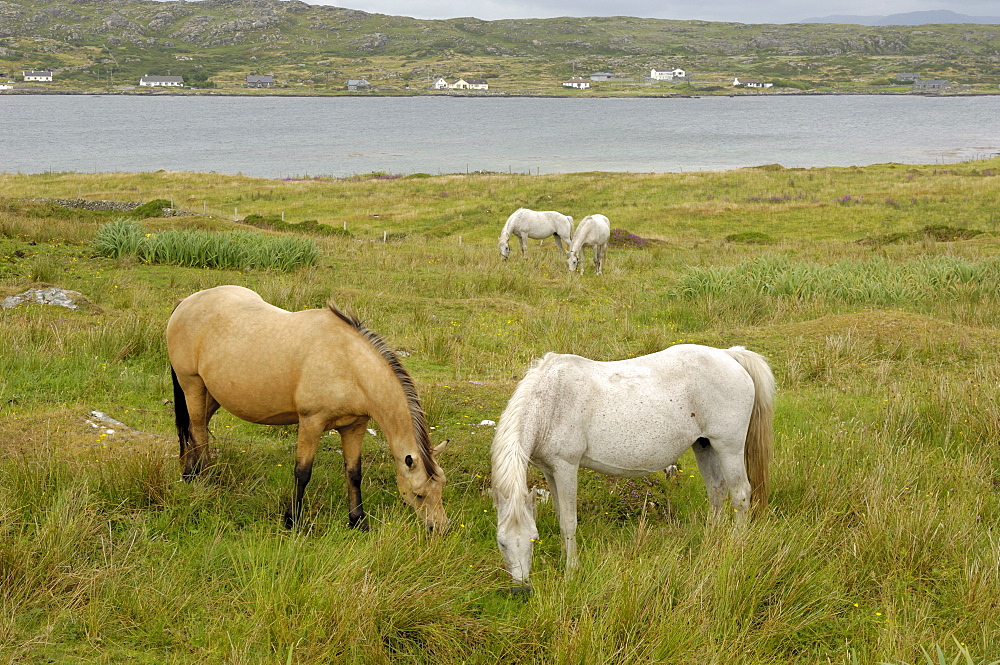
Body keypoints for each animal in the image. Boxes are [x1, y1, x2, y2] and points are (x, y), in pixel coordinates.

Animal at [168, 282, 450, 532]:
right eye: (419, 494)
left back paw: (189, 474)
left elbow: (354, 473)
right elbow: (303, 473)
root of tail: (186, 302)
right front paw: (292, 520)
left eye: (441, 488)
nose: (439, 528)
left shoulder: (355, 426)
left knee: (193, 428)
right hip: (192, 385)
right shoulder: (311, 423)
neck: (349, 363)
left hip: (213, 394)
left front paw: (358, 521)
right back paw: (203, 479)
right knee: (199, 432)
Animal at [490, 342, 772, 592]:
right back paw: (711, 541)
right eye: (502, 543)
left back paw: (737, 545)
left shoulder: (566, 467)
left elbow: (569, 522)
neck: (549, 404)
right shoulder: (550, 470)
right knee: (717, 490)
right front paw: (564, 560)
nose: (521, 590)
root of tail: (729, 355)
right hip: (704, 445)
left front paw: (571, 572)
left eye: (532, 538)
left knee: (740, 494)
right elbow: (561, 517)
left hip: (729, 447)